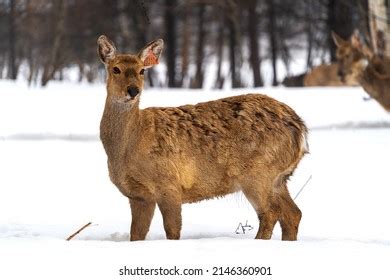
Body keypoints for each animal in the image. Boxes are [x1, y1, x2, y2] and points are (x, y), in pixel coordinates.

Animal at [96, 34, 308, 241]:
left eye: (142, 71)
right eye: (116, 69)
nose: (133, 90)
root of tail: (300, 129)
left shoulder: (169, 183)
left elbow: (172, 231)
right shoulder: (139, 196)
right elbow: (136, 234)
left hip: (258, 172)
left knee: (270, 213)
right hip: (278, 177)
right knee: (293, 213)